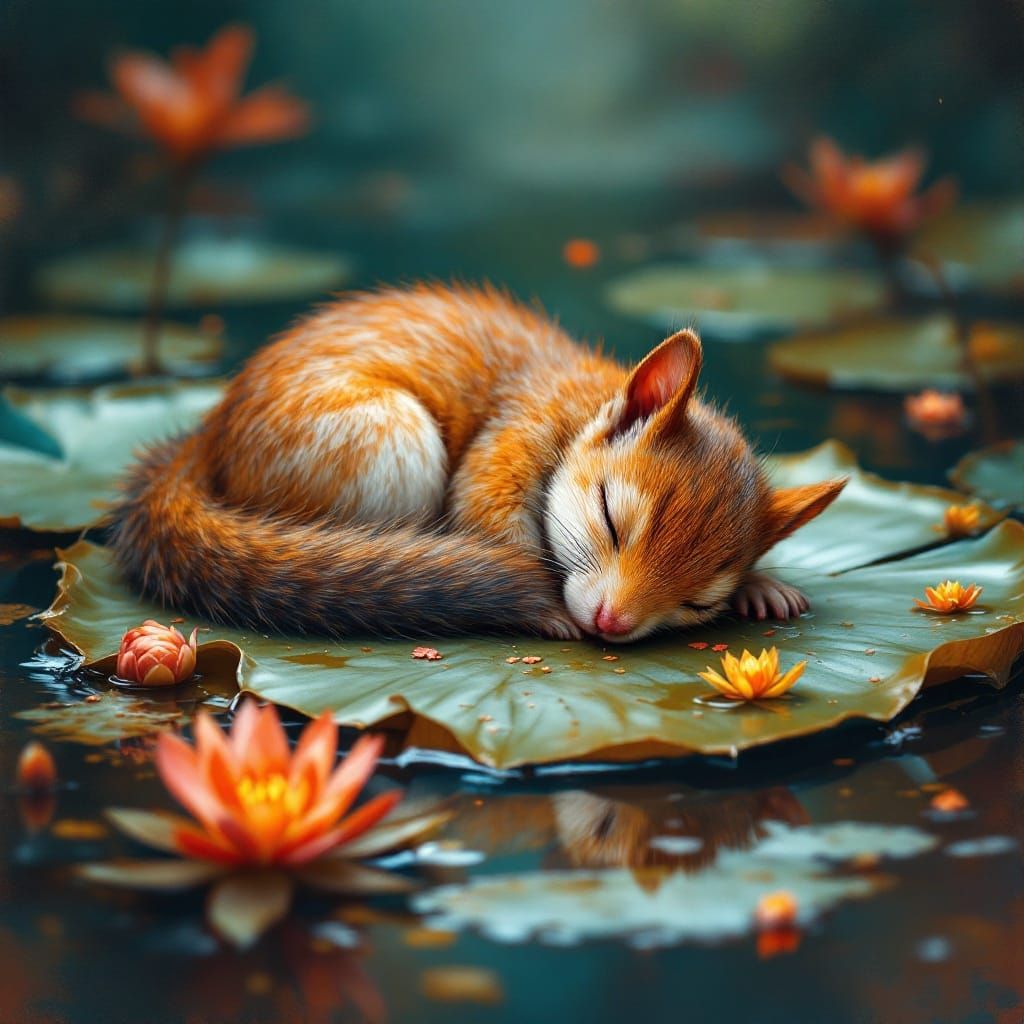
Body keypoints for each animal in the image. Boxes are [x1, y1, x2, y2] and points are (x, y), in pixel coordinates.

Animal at [110, 283, 845, 642]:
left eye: (698, 603)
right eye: (611, 517)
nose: (613, 624)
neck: (580, 403)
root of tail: (207, 442)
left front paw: (762, 587)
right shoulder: (511, 441)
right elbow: (487, 516)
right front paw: (541, 606)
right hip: (390, 443)